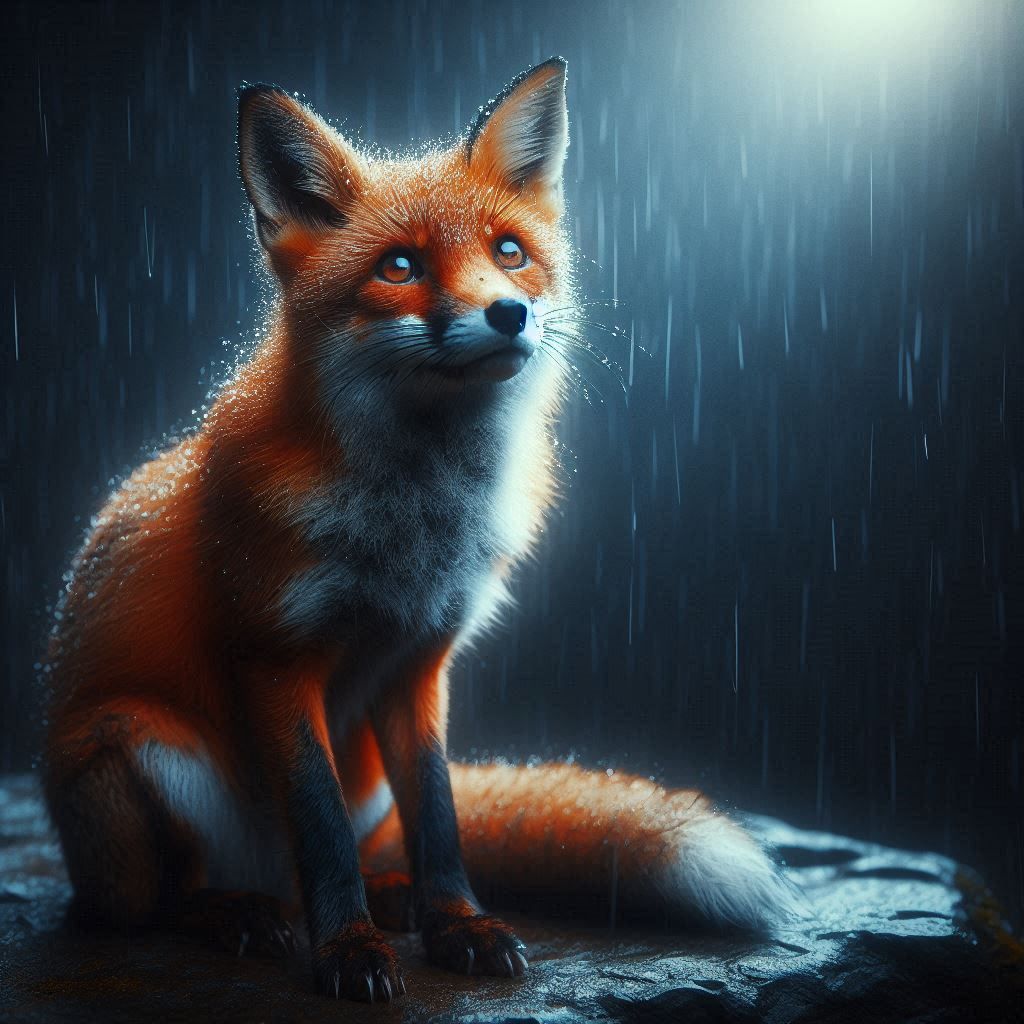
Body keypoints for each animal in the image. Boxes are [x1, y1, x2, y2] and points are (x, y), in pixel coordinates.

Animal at [43, 58, 791, 1004]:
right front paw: (348, 950)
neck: (414, 526)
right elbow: (320, 826)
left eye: (509, 252)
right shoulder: (276, 658)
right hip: (140, 743)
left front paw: (457, 925)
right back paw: (239, 912)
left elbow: (438, 814)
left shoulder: (421, 662)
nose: (509, 313)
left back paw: (389, 894)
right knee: (144, 905)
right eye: (399, 266)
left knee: (363, 849)